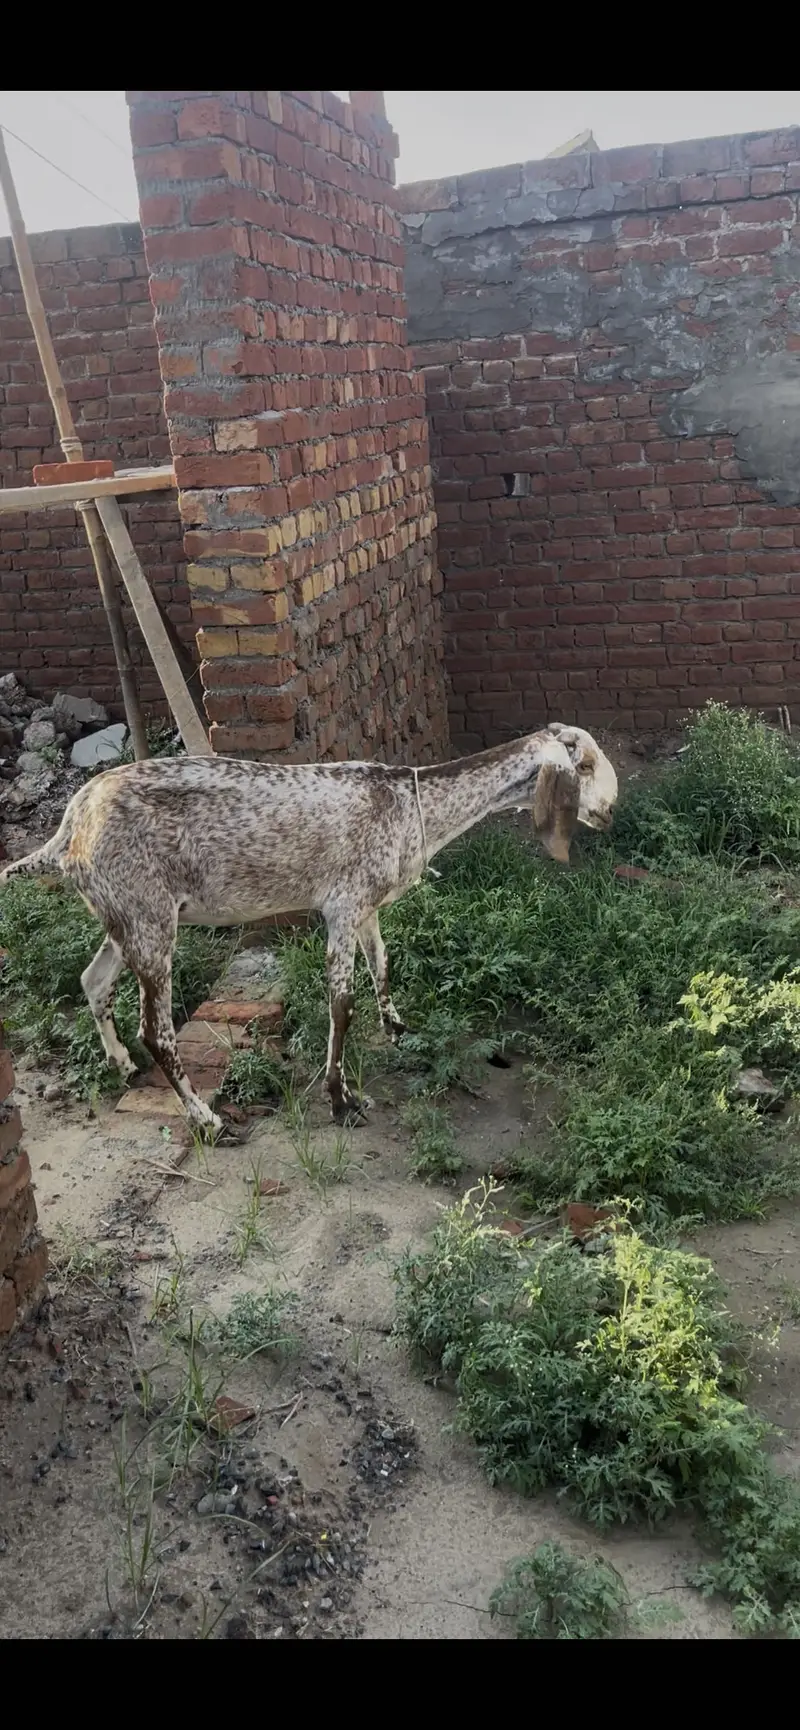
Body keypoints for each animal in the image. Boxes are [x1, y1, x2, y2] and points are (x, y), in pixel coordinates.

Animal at [0, 724, 617, 1136]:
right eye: (584, 765)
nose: (611, 809)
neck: (410, 803)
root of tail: (72, 823)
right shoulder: (341, 906)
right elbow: (341, 1004)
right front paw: (341, 1098)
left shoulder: (366, 906)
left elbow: (382, 963)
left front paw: (398, 1028)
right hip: (149, 920)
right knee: (157, 1030)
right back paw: (206, 1117)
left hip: (127, 915)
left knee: (93, 981)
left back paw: (122, 1064)